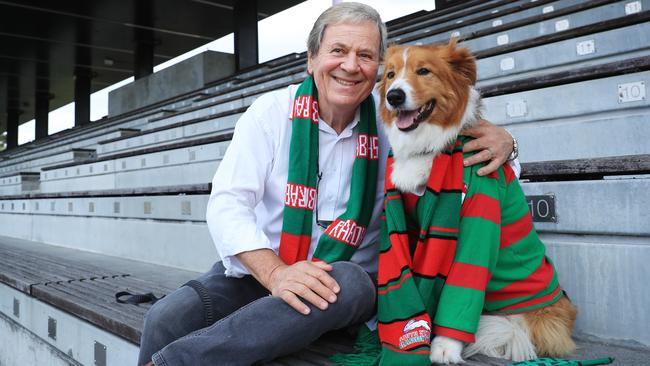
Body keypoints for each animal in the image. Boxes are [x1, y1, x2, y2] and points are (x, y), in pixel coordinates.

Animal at [378, 40, 576, 364]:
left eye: (424, 71)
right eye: (390, 75)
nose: (394, 96)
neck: (429, 146)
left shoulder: (479, 219)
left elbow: (461, 287)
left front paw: (444, 346)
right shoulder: (405, 223)